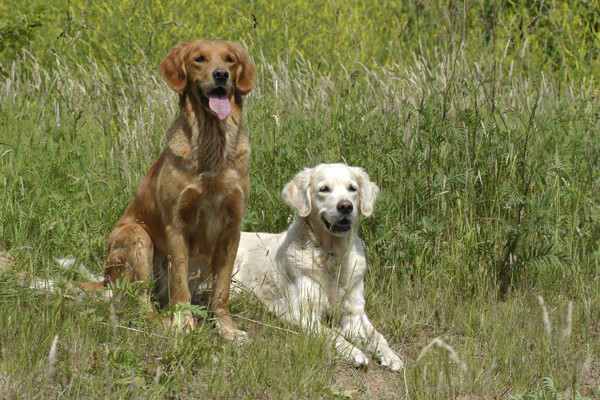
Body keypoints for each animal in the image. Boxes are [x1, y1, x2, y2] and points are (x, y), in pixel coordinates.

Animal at [103, 39, 253, 340]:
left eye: (229, 60)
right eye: (199, 59)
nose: (221, 75)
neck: (212, 144)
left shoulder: (232, 228)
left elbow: (222, 291)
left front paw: (227, 329)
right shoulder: (177, 224)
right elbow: (180, 283)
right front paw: (182, 323)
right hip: (137, 236)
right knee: (141, 301)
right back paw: (161, 322)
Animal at [234, 164, 404, 370]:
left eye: (352, 188)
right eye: (324, 189)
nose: (346, 206)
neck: (332, 255)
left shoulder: (354, 309)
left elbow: (376, 335)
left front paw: (390, 355)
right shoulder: (302, 313)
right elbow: (333, 334)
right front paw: (354, 351)